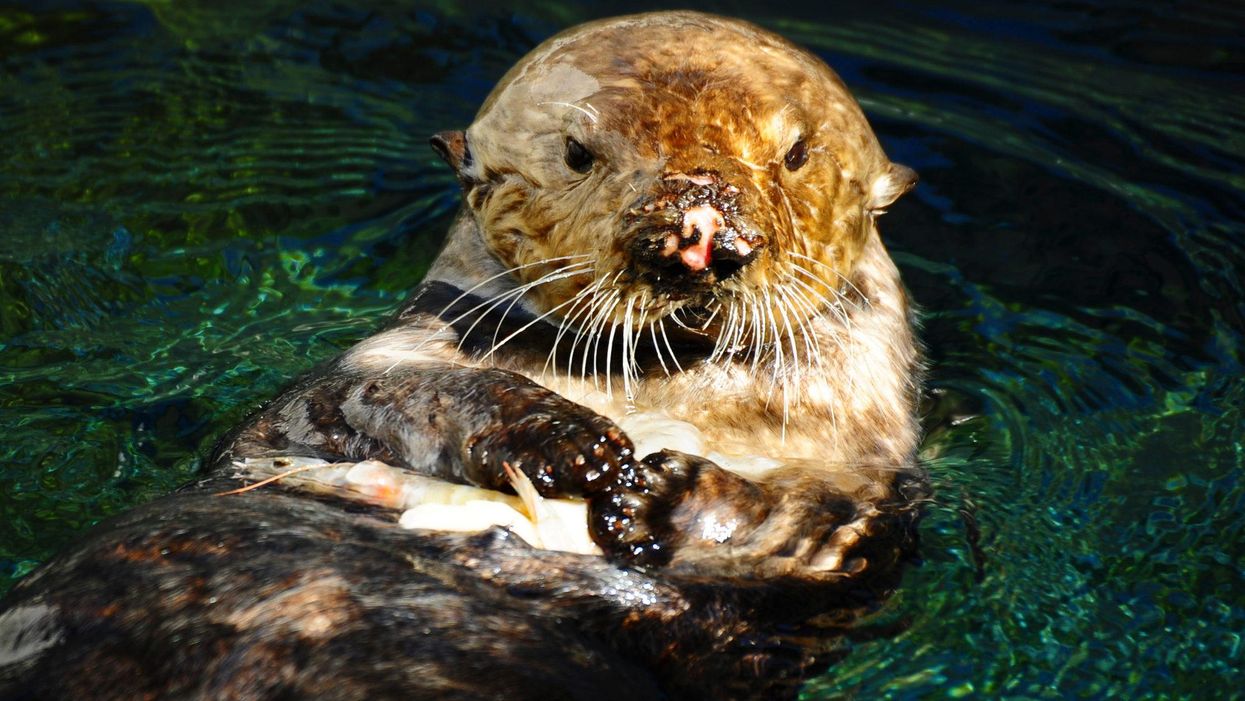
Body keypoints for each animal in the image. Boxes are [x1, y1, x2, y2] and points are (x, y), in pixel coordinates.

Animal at [0, 12, 923, 700]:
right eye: (578, 153)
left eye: (795, 154)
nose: (694, 235)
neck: (666, 392)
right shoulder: (377, 364)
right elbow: (388, 401)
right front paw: (574, 446)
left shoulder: (863, 480)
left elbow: (811, 533)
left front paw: (659, 493)